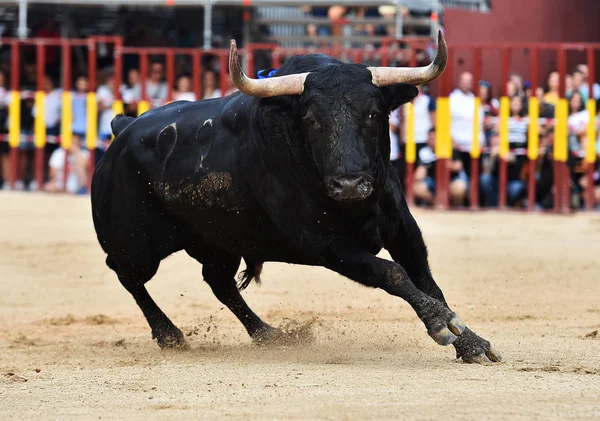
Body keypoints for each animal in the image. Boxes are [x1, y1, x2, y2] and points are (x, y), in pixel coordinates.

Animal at [89, 32, 502, 364]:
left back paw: (269, 334)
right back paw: (169, 334)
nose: (349, 184)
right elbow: (394, 274)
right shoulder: (327, 245)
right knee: (125, 273)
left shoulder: (402, 228)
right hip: (136, 243)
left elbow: (426, 280)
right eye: (312, 120)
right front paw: (442, 325)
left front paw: (471, 343)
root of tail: (123, 128)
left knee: (218, 281)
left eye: (373, 114)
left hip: (220, 241)